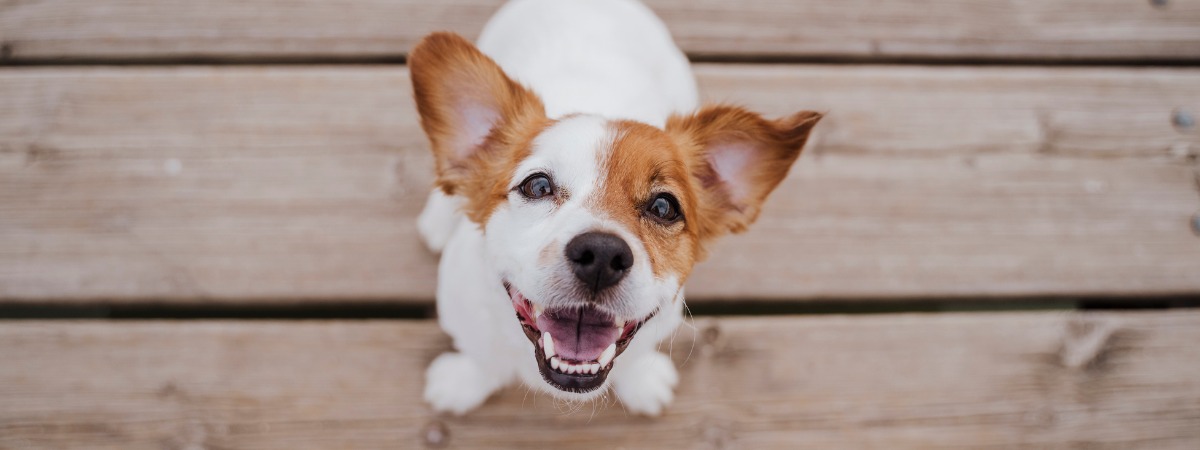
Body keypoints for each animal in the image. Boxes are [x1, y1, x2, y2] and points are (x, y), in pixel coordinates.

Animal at [410, 0, 816, 417]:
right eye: (537, 186)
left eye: (664, 207)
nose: (602, 255)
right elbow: (483, 359)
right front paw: (463, 382)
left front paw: (641, 381)